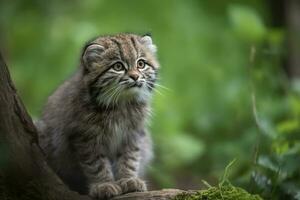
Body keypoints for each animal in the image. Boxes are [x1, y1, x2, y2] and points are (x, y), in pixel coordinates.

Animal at [35, 32, 159, 198]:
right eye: (118, 66)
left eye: (141, 64)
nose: (135, 77)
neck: (121, 104)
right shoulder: (85, 138)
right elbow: (96, 164)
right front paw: (104, 185)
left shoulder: (133, 134)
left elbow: (129, 158)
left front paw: (129, 180)